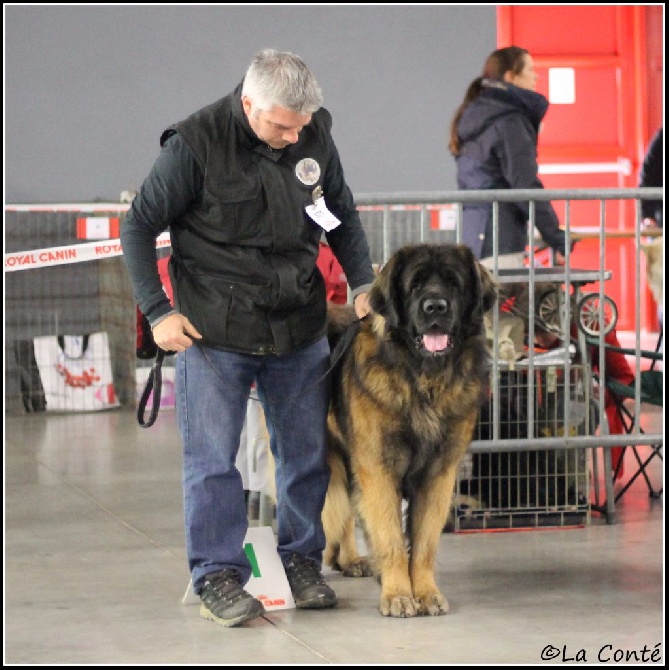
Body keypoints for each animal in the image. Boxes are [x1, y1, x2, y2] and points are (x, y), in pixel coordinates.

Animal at [320, 242, 498, 620]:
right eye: (415, 285)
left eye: (453, 283)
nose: (435, 307)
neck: (423, 382)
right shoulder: (379, 469)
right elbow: (390, 537)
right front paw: (398, 594)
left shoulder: (438, 476)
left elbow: (424, 541)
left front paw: (426, 592)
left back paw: (352, 559)